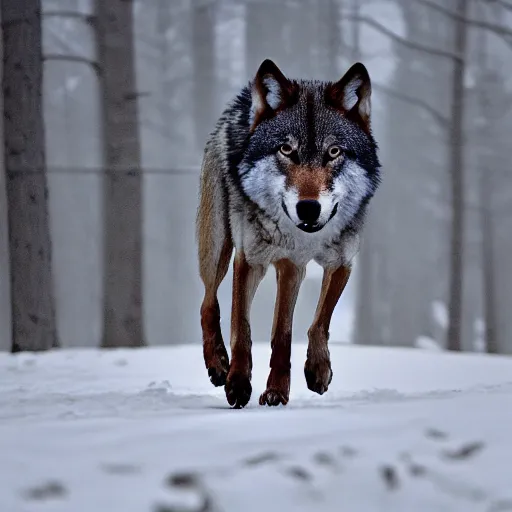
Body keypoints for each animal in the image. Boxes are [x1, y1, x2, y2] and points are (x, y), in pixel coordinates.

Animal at [196, 59, 380, 408]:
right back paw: (217, 365)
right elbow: (242, 328)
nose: (308, 208)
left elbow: (309, 326)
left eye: (334, 152)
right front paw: (238, 383)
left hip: (288, 270)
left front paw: (307, 376)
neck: (308, 239)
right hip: (218, 247)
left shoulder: (336, 262)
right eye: (286, 149)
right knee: (207, 302)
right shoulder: (251, 259)